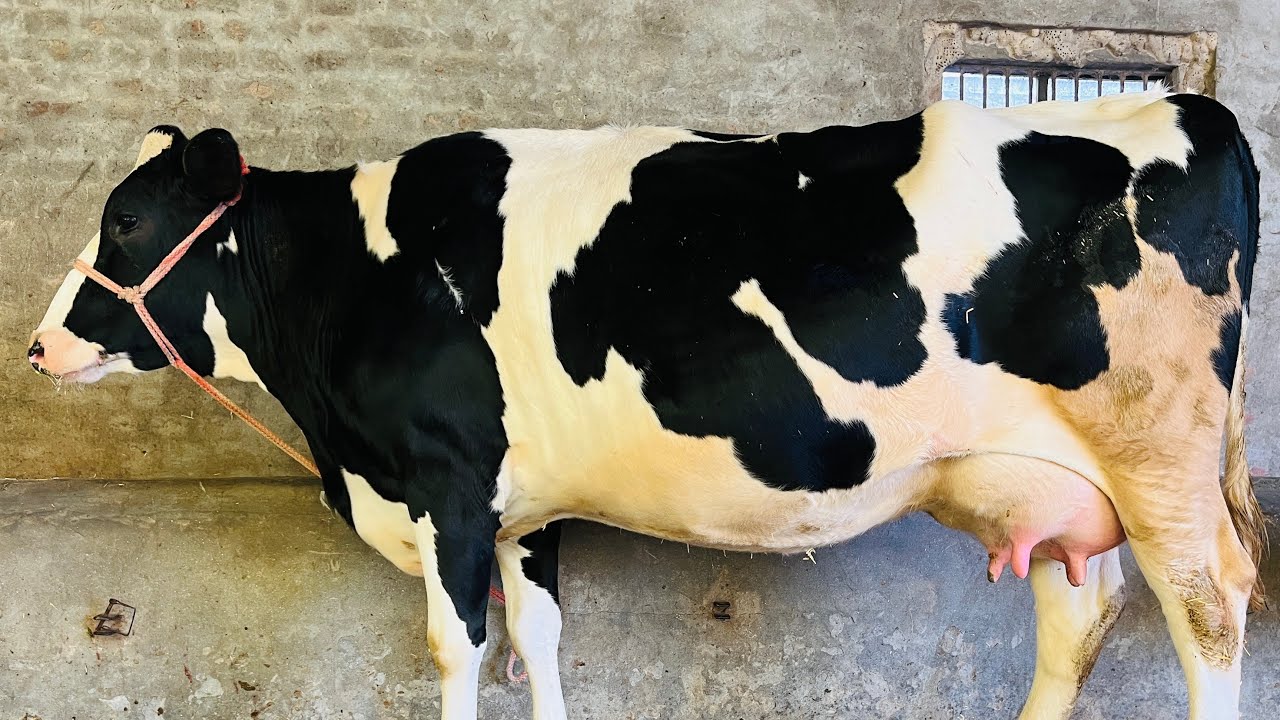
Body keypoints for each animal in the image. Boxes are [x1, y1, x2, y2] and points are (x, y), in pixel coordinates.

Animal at [29, 88, 1263, 720]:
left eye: (127, 219)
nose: (38, 346)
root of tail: (1180, 103)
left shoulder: (447, 487)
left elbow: (456, 647)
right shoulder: (520, 511)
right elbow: (537, 638)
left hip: (1159, 462)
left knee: (1207, 612)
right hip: (1051, 486)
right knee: (1079, 617)